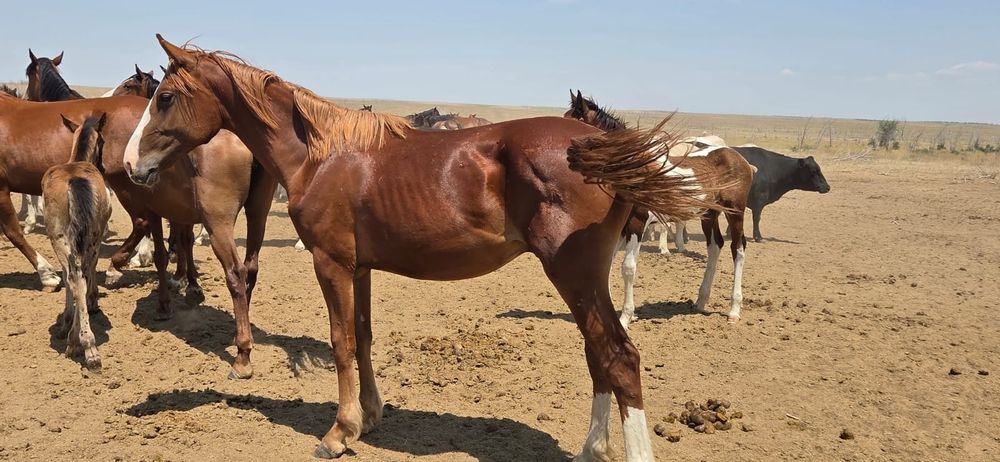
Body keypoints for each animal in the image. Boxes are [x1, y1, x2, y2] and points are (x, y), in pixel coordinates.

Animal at [42, 113, 114, 371]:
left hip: (63, 239)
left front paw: (66, 322)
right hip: (88, 239)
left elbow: (71, 278)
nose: (104, 166)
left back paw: (81, 344)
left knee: (75, 278)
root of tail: (75, 179)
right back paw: (85, 346)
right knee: (78, 277)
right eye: (103, 140)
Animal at [125, 36, 721, 461]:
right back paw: (590, 449)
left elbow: (340, 341)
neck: (321, 154)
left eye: (165, 97)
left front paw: (339, 432)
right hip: (584, 279)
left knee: (619, 358)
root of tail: (593, 146)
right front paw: (369, 416)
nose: (132, 166)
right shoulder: (359, 268)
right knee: (600, 356)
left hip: (574, 274)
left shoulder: (331, 264)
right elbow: (363, 337)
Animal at [565, 90, 755, 325]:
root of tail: (739, 158)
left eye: (574, 121)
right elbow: (607, 264)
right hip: (708, 214)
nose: (567, 154)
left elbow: (627, 268)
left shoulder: (638, 223)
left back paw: (734, 310)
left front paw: (626, 317)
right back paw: (700, 301)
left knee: (738, 249)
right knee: (715, 246)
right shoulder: (622, 228)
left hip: (735, 213)